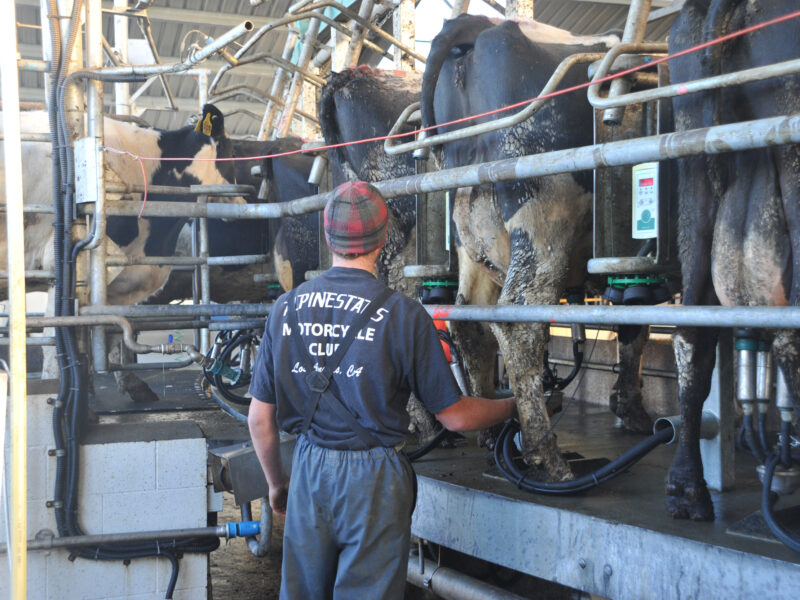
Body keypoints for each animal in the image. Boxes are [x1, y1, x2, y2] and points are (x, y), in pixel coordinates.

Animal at [418, 15, 656, 478]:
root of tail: (476, 26)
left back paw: (492, 432)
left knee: (471, 321)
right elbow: (641, 325)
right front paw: (633, 410)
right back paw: (545, 454)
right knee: (519, 318)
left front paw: (628, 406)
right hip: (544, 212)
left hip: (472, 229)